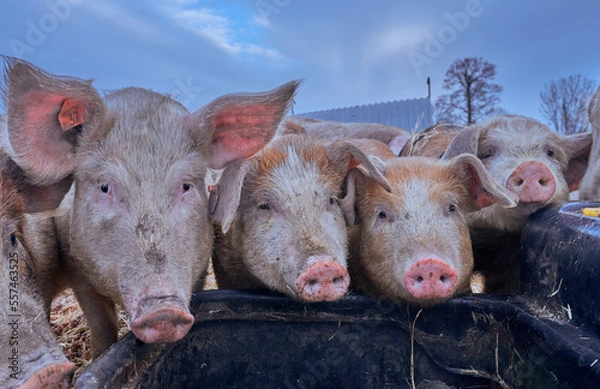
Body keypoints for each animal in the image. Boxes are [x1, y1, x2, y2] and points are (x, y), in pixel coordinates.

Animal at [2, 56, 298, 356]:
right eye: (105, 187)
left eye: (186, 185)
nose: (163, 311)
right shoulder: (78, 269)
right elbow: (102, 325)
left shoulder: (199, 267)